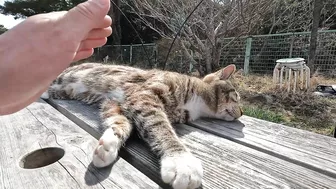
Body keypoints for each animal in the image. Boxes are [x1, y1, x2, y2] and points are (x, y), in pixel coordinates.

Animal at [41, 63, 242, 189]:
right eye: (237, 97)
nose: (241, 112)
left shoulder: (115, 103)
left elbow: (120, 122)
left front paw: (108, 145)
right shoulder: (144, 95)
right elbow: (160, 126)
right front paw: (180, 160)